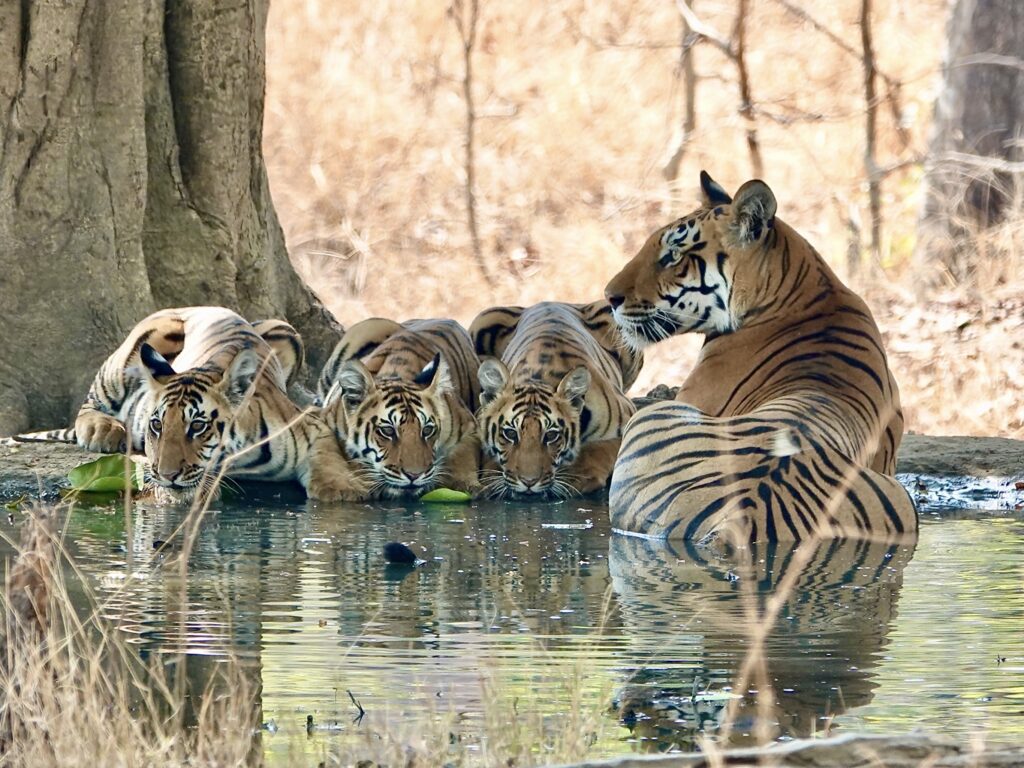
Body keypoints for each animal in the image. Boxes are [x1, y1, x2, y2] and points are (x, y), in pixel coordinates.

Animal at [67, 307, 364, 502]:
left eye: (198, 426)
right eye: (157, 425)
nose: (168, 474)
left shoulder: (314, 425)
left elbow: (328, 455)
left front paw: (342, 490)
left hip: (287, 331)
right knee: (91, 402)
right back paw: (101, 430)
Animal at [318, 317, 481, 498]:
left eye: (427, 430)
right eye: (387, 431)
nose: (414, 475)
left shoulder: (469, 426)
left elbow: (463, 457)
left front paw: (465, 485)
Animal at [469, 300, 641, 499]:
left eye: (551, 435)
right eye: (510, 434)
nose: (529, 482)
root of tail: (550, 302)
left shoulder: (629, 416)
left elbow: (602, 447)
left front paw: (579, 476)